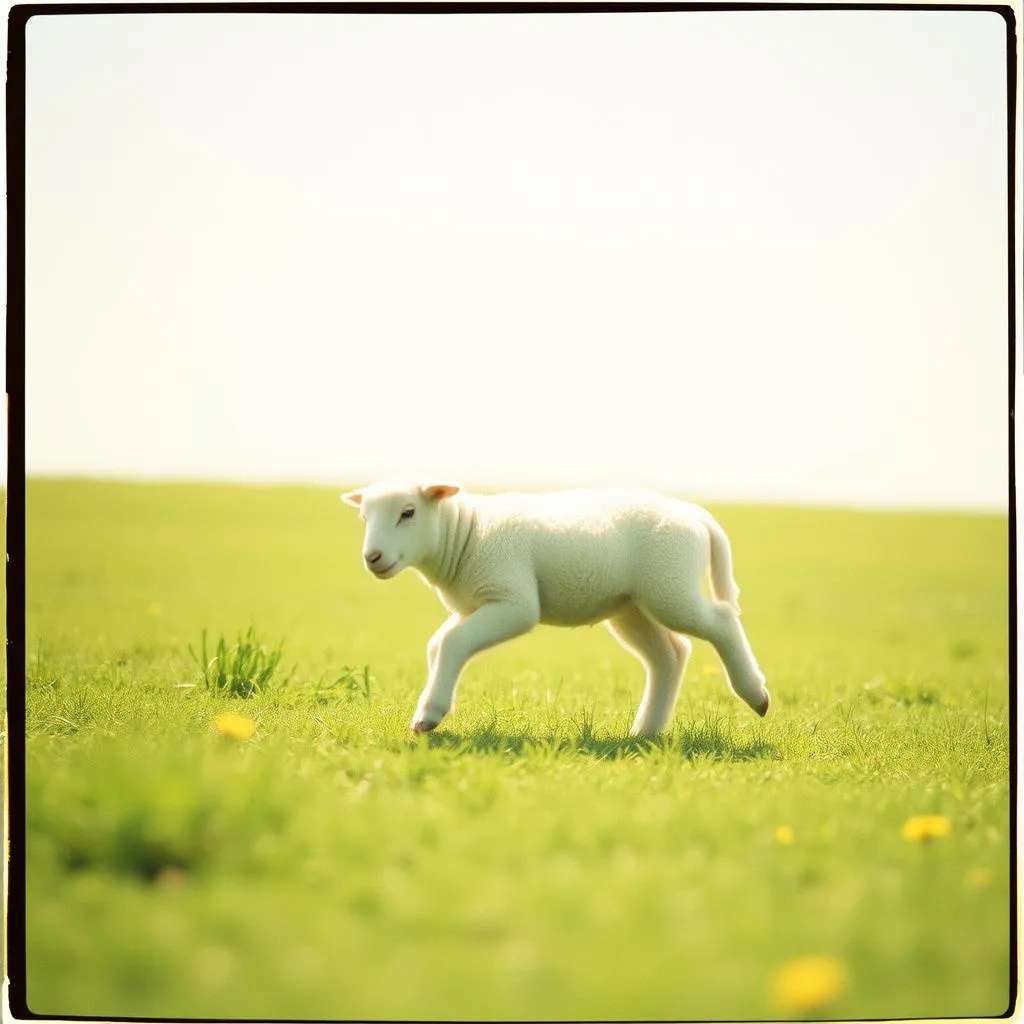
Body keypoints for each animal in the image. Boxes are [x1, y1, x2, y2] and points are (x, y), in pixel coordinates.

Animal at [341, 481, 770, 736]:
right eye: (363, 518)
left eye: (408, 512)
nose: (372, 557)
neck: (465, 535)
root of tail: (696, 514)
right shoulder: (473, 606)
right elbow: (438, 644)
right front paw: (431, 706)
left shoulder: (513, 601)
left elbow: (451, 644)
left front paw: (428, 715)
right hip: (631, 605)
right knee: (670, 654)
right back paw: (644, 732)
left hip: (669, 585)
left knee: (722, 620)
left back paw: (756, 694)